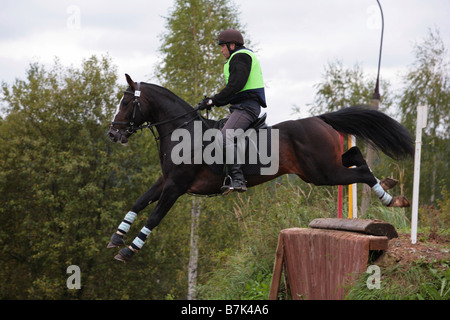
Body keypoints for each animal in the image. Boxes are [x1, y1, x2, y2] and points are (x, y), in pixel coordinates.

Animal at [106, 74, 414, 262]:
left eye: (126, 102)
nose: (112, 134)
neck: (184, 132)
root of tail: (319, 119)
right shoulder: (165, 181)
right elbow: (139, 202)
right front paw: (117, 236)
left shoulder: (176, 186)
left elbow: (154, 217)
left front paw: (129, 251)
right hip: (321, 169)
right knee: (356, 154)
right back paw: (388, 185)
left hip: (324, 173)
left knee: (361, 171)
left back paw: (391, 198)